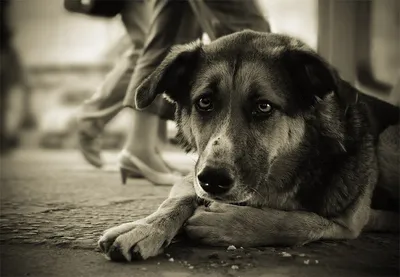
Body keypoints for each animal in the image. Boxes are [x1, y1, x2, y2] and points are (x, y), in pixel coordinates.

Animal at [97, 30, 400, 260]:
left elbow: (302, 221)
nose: (213, 180)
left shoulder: (347, 222)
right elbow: (177, 200)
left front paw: (227, 223)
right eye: (204, 102)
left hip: (388, 140)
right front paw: (145, 227)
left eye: (263, 106)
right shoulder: (192, 176)